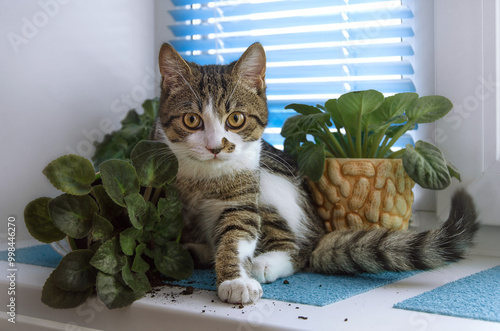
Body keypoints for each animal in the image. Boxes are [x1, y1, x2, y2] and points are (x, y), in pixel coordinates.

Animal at [150, 42, 478, 304]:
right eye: (192, 120)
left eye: (236, 119)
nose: (215, 147)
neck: (203, 175)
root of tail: (320, 228)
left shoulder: (244, 191)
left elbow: (237, 232)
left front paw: (235, 280)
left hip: (270, 182)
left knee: (299, 248)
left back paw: (263, 263)